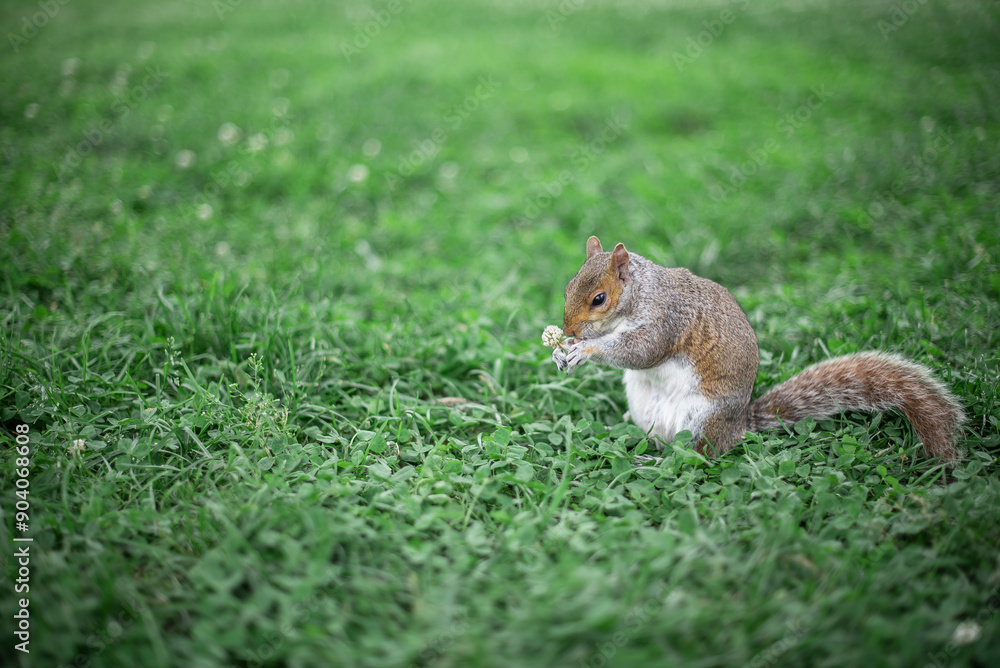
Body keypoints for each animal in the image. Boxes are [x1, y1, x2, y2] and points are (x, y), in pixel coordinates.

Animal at [551, 236, 965, 461]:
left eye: (599, 299)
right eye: (568, 286)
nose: (569, 328)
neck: (640, 294)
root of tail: (739, 426)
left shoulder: (666, 320)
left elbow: (642, 351)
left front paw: (586, 351)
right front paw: (561, 348)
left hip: (703, 417)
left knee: (697, 455)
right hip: (645, 408)